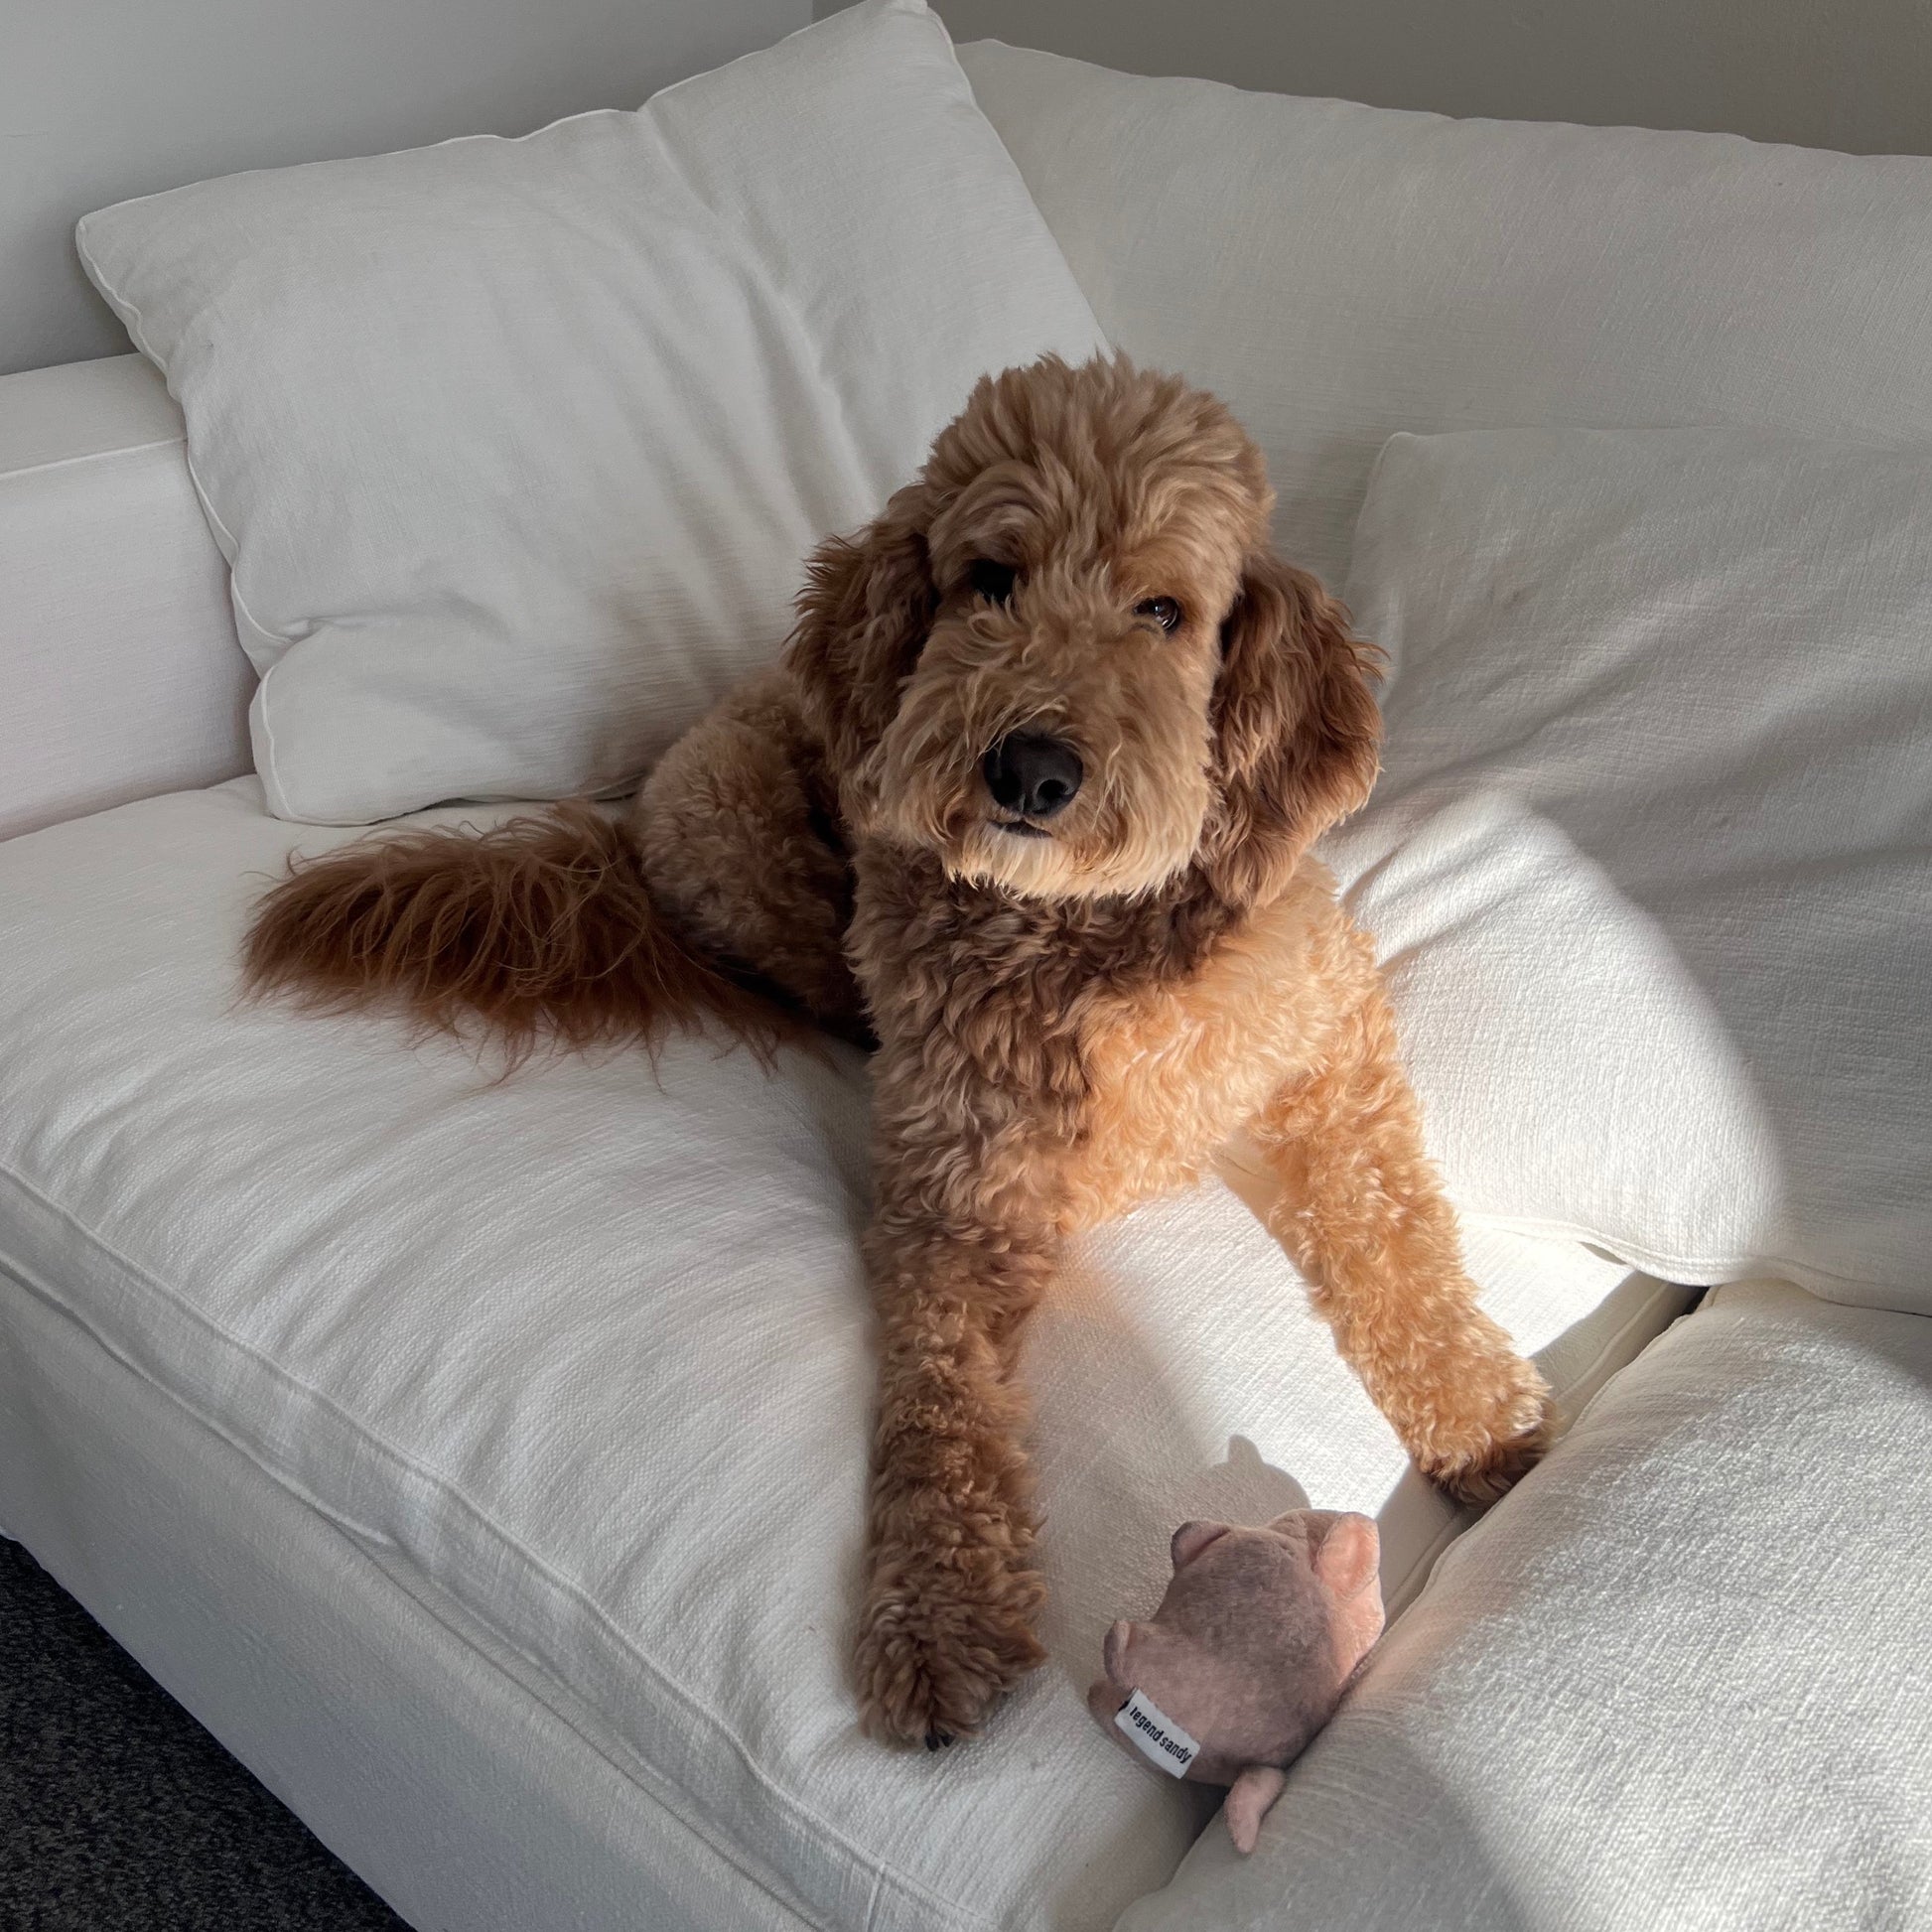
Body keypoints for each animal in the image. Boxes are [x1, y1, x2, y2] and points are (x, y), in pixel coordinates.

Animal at [244, 353, 1551, 1749]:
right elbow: (941, 1407)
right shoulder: (953, 1202)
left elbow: (1394, 1241)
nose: (1029, 765)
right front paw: (936, 1607)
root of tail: (628, 824)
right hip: (743, 839)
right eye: (990, 578)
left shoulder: (1332, 1048)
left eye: (1161, 609)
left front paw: (1483, 1422)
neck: (1081, 933)